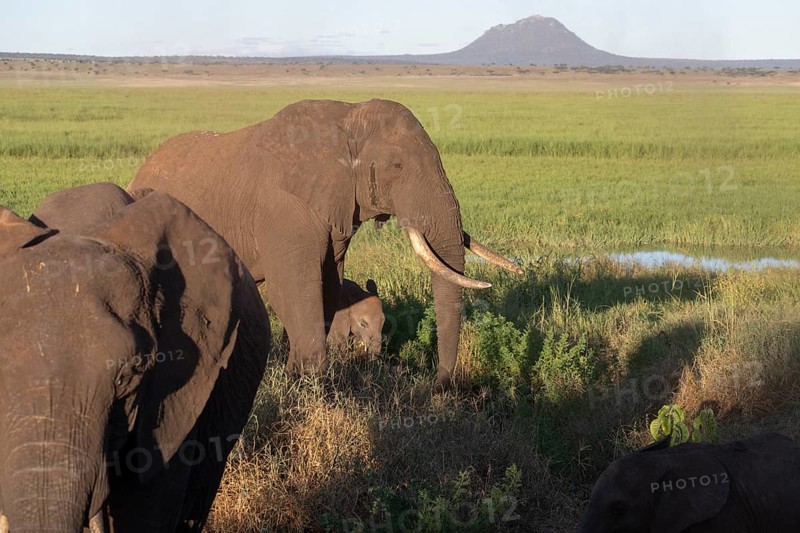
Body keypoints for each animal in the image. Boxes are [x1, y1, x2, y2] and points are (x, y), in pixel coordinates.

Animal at [128, 98, 522, 390]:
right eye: (397, 166)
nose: (437, 385)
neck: (348, 118)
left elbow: (330, 284)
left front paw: (304, 376)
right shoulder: (284, 209)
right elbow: (294, 289)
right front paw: (310, 382)